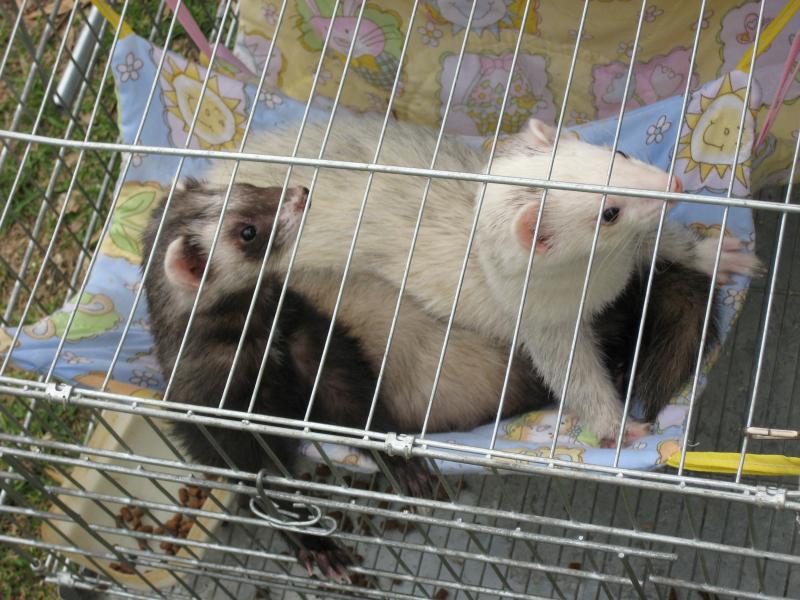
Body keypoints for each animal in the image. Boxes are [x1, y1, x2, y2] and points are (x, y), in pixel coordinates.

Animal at [140, 181, 431, 578]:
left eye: (241, 185)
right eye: (247, 232)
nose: (299, 192)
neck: (264, 348)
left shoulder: (311, 344)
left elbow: (353, 401)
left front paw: (404, 466)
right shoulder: (226, 429)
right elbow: (266, 491)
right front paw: (317, 548)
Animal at [210, 113, 760, 442]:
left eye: (617, 156)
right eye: (609, 213)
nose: (674, 182)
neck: (604, 282)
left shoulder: (637, 253)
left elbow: (672, 245)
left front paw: (720, 255)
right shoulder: (543, 326)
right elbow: (577, 380)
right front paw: (618, 427)